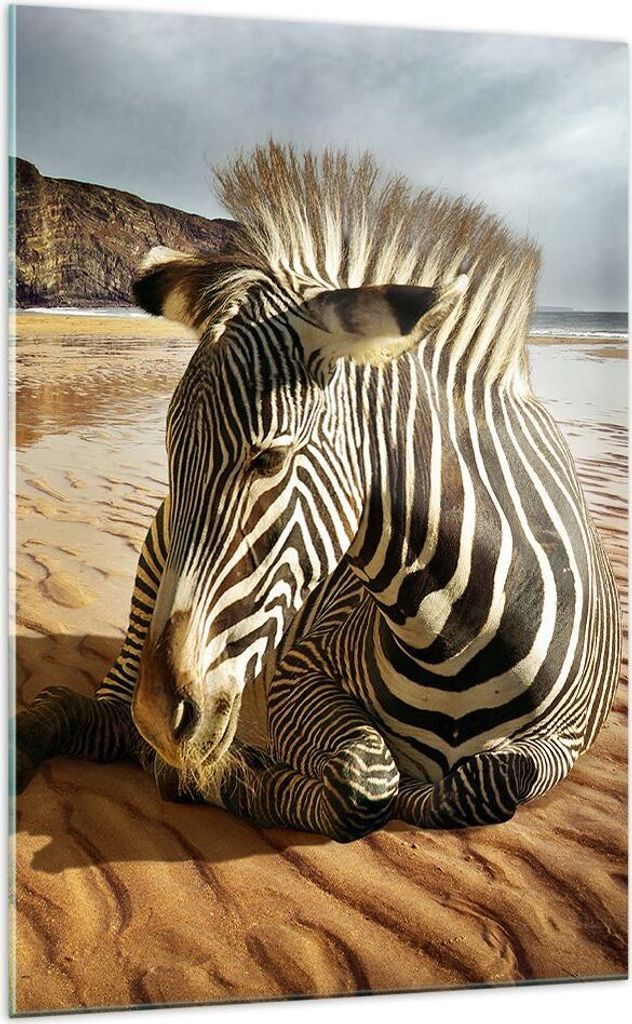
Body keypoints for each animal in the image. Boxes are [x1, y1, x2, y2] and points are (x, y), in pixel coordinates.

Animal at [15, 142, 622, 841]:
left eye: (270, 459)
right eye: (171, 454)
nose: (160, 719)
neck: (456, 635)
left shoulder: (568, 739)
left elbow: (485, 782)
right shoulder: (300, 670)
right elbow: (367, 780)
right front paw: (223, 778)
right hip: (154, 568)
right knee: (107, 714)